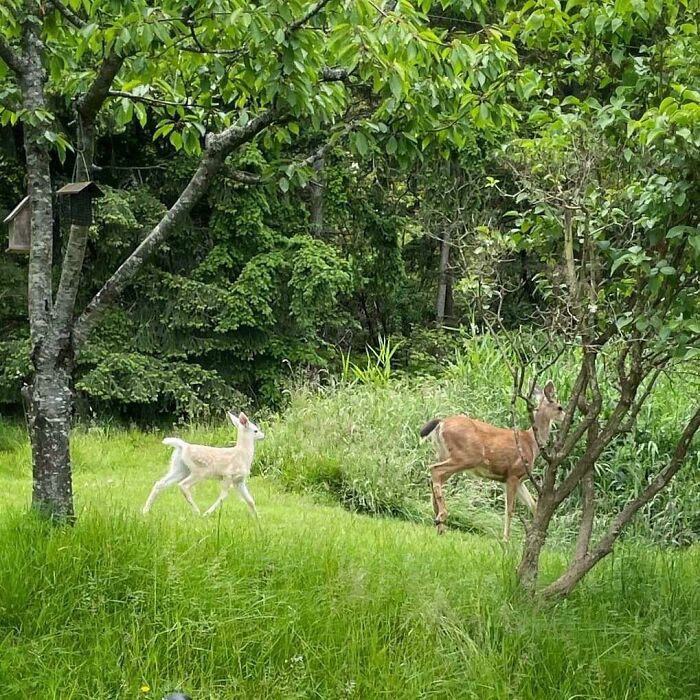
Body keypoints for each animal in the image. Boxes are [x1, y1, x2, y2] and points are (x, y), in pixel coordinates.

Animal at [420, 381, 565, 540]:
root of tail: (441, 423)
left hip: (445, 454)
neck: (531, 443)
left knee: (435, 476)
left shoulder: (519, 479)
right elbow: (509, 509)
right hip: (466, 456)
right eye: (560, 407)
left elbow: (533, 505)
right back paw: (441, 516)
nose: (566, 417)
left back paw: (440, 525)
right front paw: (506, 539)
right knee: (435, 469)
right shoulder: (513, 474)